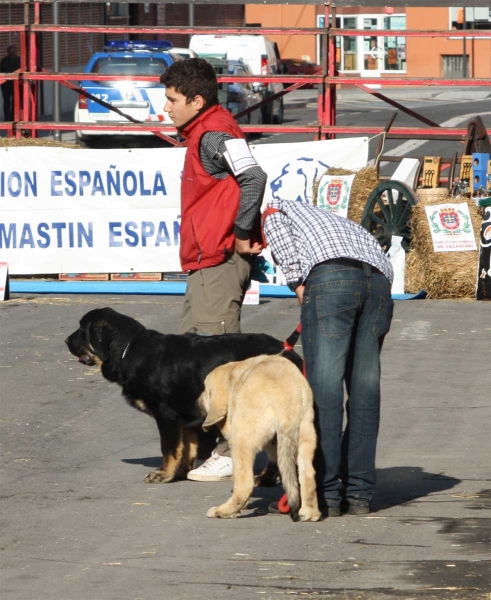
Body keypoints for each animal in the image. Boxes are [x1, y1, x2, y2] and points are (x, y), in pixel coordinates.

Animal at [66, 310, 304, 482]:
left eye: (81, 329)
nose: (66, 341)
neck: (128, 350)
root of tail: (289, 353)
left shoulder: (166, 414)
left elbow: (169, 448)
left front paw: (163, 474)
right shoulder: (187, 416)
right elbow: (186, 448)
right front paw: (179, 473)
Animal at [198, 356, 320, 520]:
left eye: (205, 389)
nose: (196, 403)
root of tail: (288, 396)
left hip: (241, 439)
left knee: (245, 482)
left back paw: (224, 511)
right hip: (305, 436)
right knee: (307, 476)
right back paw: (310, 512)